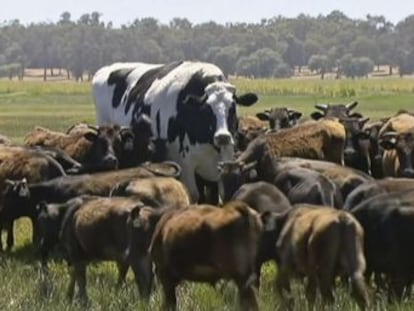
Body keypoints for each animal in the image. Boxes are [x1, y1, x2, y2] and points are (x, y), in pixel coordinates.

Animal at [92, 61, 258, 202]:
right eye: (206, 108)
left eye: (233, 108)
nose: (222, 136)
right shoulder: (185, 165)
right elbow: (193, 195)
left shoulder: (223, 161)